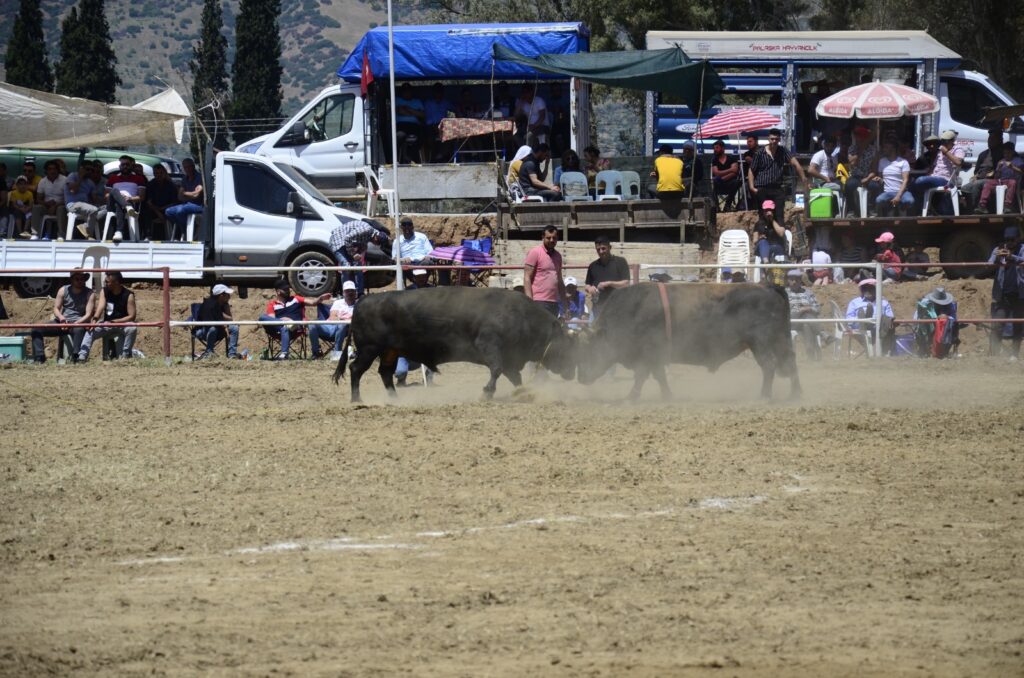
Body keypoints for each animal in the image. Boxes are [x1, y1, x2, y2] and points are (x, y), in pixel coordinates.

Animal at [333, 288, 577, 403]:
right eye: (567, 347)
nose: (572, 373)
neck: (522, 317)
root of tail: (363, 300)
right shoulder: (490, 347)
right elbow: (496, 370)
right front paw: (487, 393)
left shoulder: (510, 359)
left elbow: (514, 377)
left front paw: (524, 392)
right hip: (369, 349)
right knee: (356, 369)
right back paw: (357, 398)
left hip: (390, 351)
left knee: (385, 372)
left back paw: (394, 398)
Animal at [577, 284, 798, 401]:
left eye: (589, 349)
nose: (580, 377)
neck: (633, 311)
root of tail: (769, 287)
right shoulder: (655, 357)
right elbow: (659, 376)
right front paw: (668, 396)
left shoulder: (649, 353)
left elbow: (643, 375)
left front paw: (631, 397)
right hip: (780, 341)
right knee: (790, 364)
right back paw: (795, 395)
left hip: (761, 343)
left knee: (769, 365)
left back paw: (764, 396)